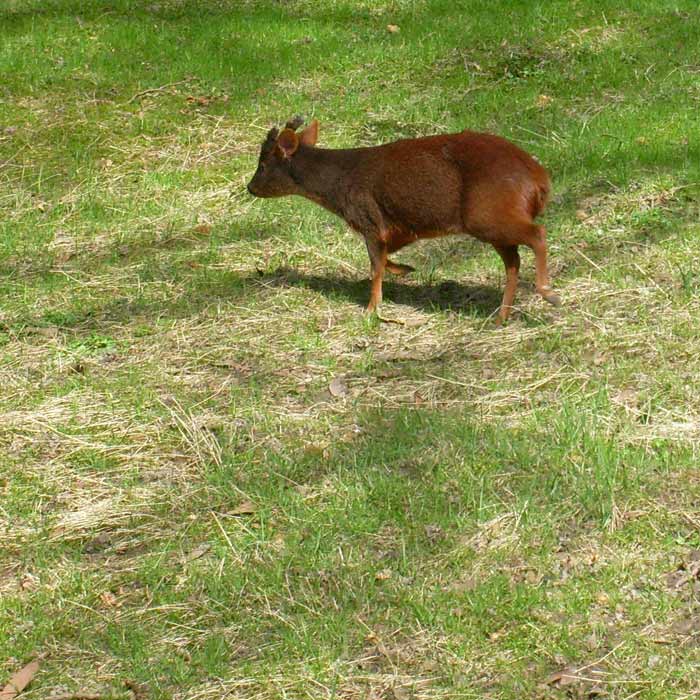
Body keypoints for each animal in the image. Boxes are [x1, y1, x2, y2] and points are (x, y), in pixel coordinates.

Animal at [249, 116, 560, 324]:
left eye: (262, 165)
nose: (249, 187)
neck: (339, 186)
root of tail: (539, 181)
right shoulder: (395, 228)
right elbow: (385, 258)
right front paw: (405, 269)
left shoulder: (369, 219)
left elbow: (375, 265)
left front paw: (371, 309)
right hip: (493, 220)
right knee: (513, 261)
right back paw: (501, 316)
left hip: (487, 214)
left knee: (537, 234)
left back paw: (548, 293)